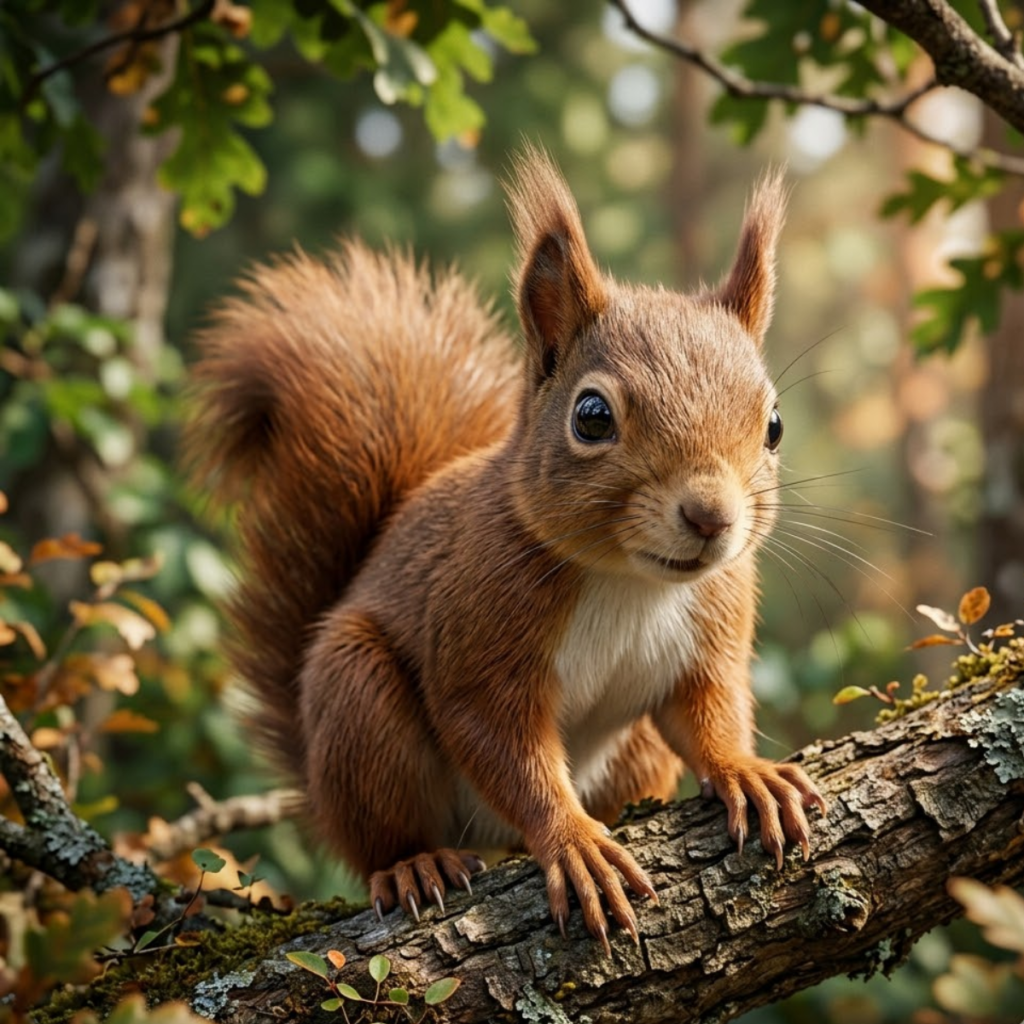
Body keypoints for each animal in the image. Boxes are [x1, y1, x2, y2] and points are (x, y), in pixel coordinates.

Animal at [184, 147, 827, 951]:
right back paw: (416, 865)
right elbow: (502, 744)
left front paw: (747, 772)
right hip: (356, 697)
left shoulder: (712, 626)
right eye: (592, 417)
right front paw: (575, 845)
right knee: (380, 836)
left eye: (774, 425)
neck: (630, 582)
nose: (712, 516)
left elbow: (708, 711)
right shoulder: (481, 628)